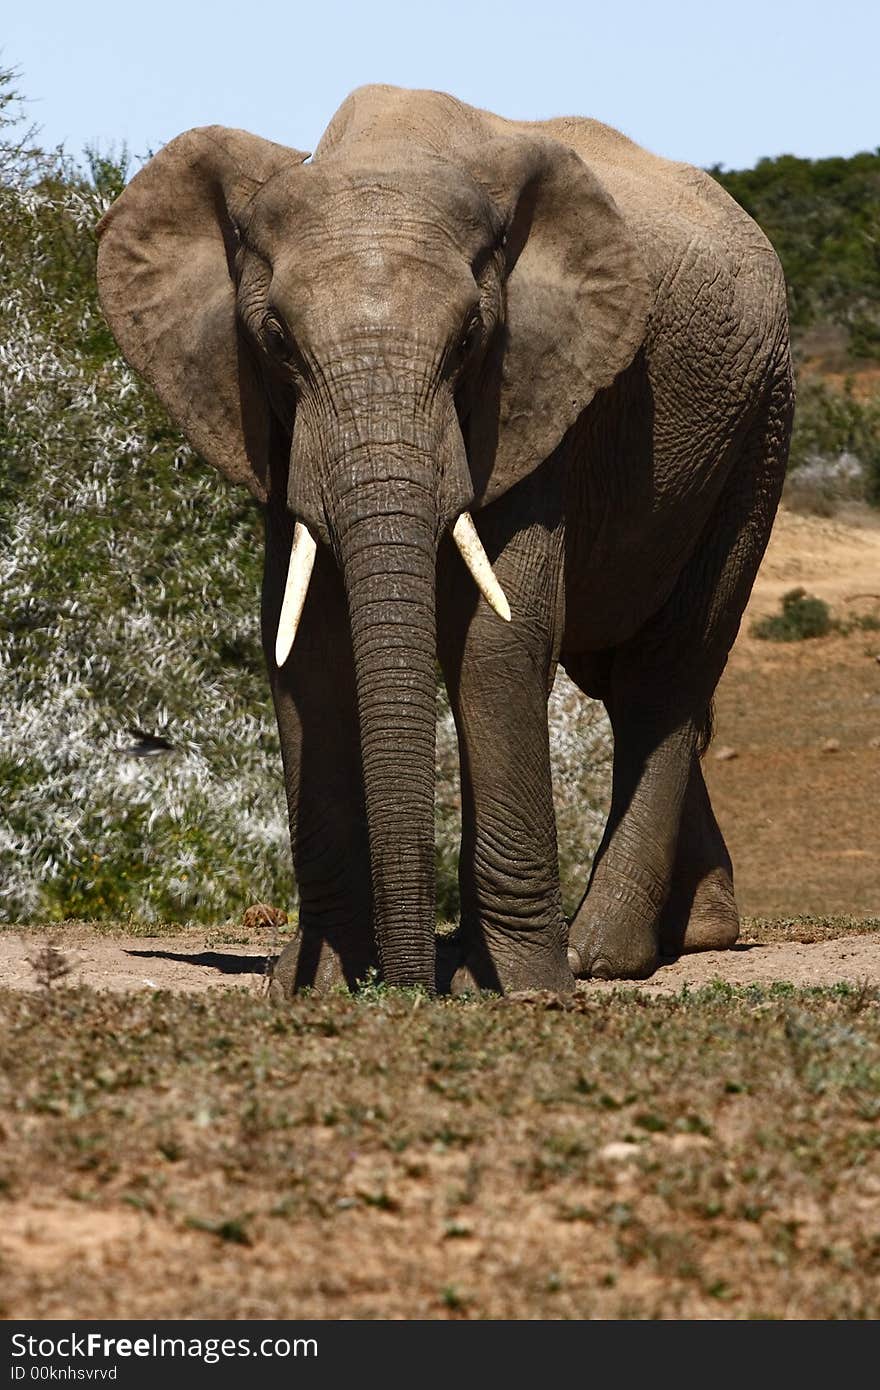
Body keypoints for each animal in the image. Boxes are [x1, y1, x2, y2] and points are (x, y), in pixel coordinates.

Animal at [94, 81, 789, 1000]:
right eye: (277, 341)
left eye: (467, 342)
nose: (403, 986)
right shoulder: (277, 430)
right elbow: (304, 644)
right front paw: (319, 983)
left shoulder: (537, 393)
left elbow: (498, 639)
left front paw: (525, 987)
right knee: (615, 671)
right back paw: (700, 933)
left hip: (757, 432)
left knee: (663, 674)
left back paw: (602, 953)